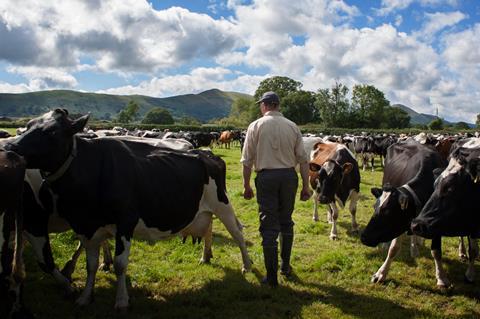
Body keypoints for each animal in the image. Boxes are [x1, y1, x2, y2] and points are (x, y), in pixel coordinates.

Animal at [6, 109, 251, 310]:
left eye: (52, 132)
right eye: (28, 125)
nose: (10, 147)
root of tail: (207, 153)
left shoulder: (125, 221)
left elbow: (120, 264)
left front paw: (121, 300)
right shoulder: (87, 226)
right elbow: (91, 264)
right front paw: (85, 297)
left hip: (223, 204)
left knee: (237, 232)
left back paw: (247, 265)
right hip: (203, 210)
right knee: (208, 228)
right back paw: (205, 256)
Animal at [360, 140, 458, 288]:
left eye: (388, 212)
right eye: (374, 207)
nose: (363, 237)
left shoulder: (437, 220)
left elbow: (436, 251)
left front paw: (441, 278)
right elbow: (394, 248)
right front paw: (381, 274)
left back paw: (415, 248)